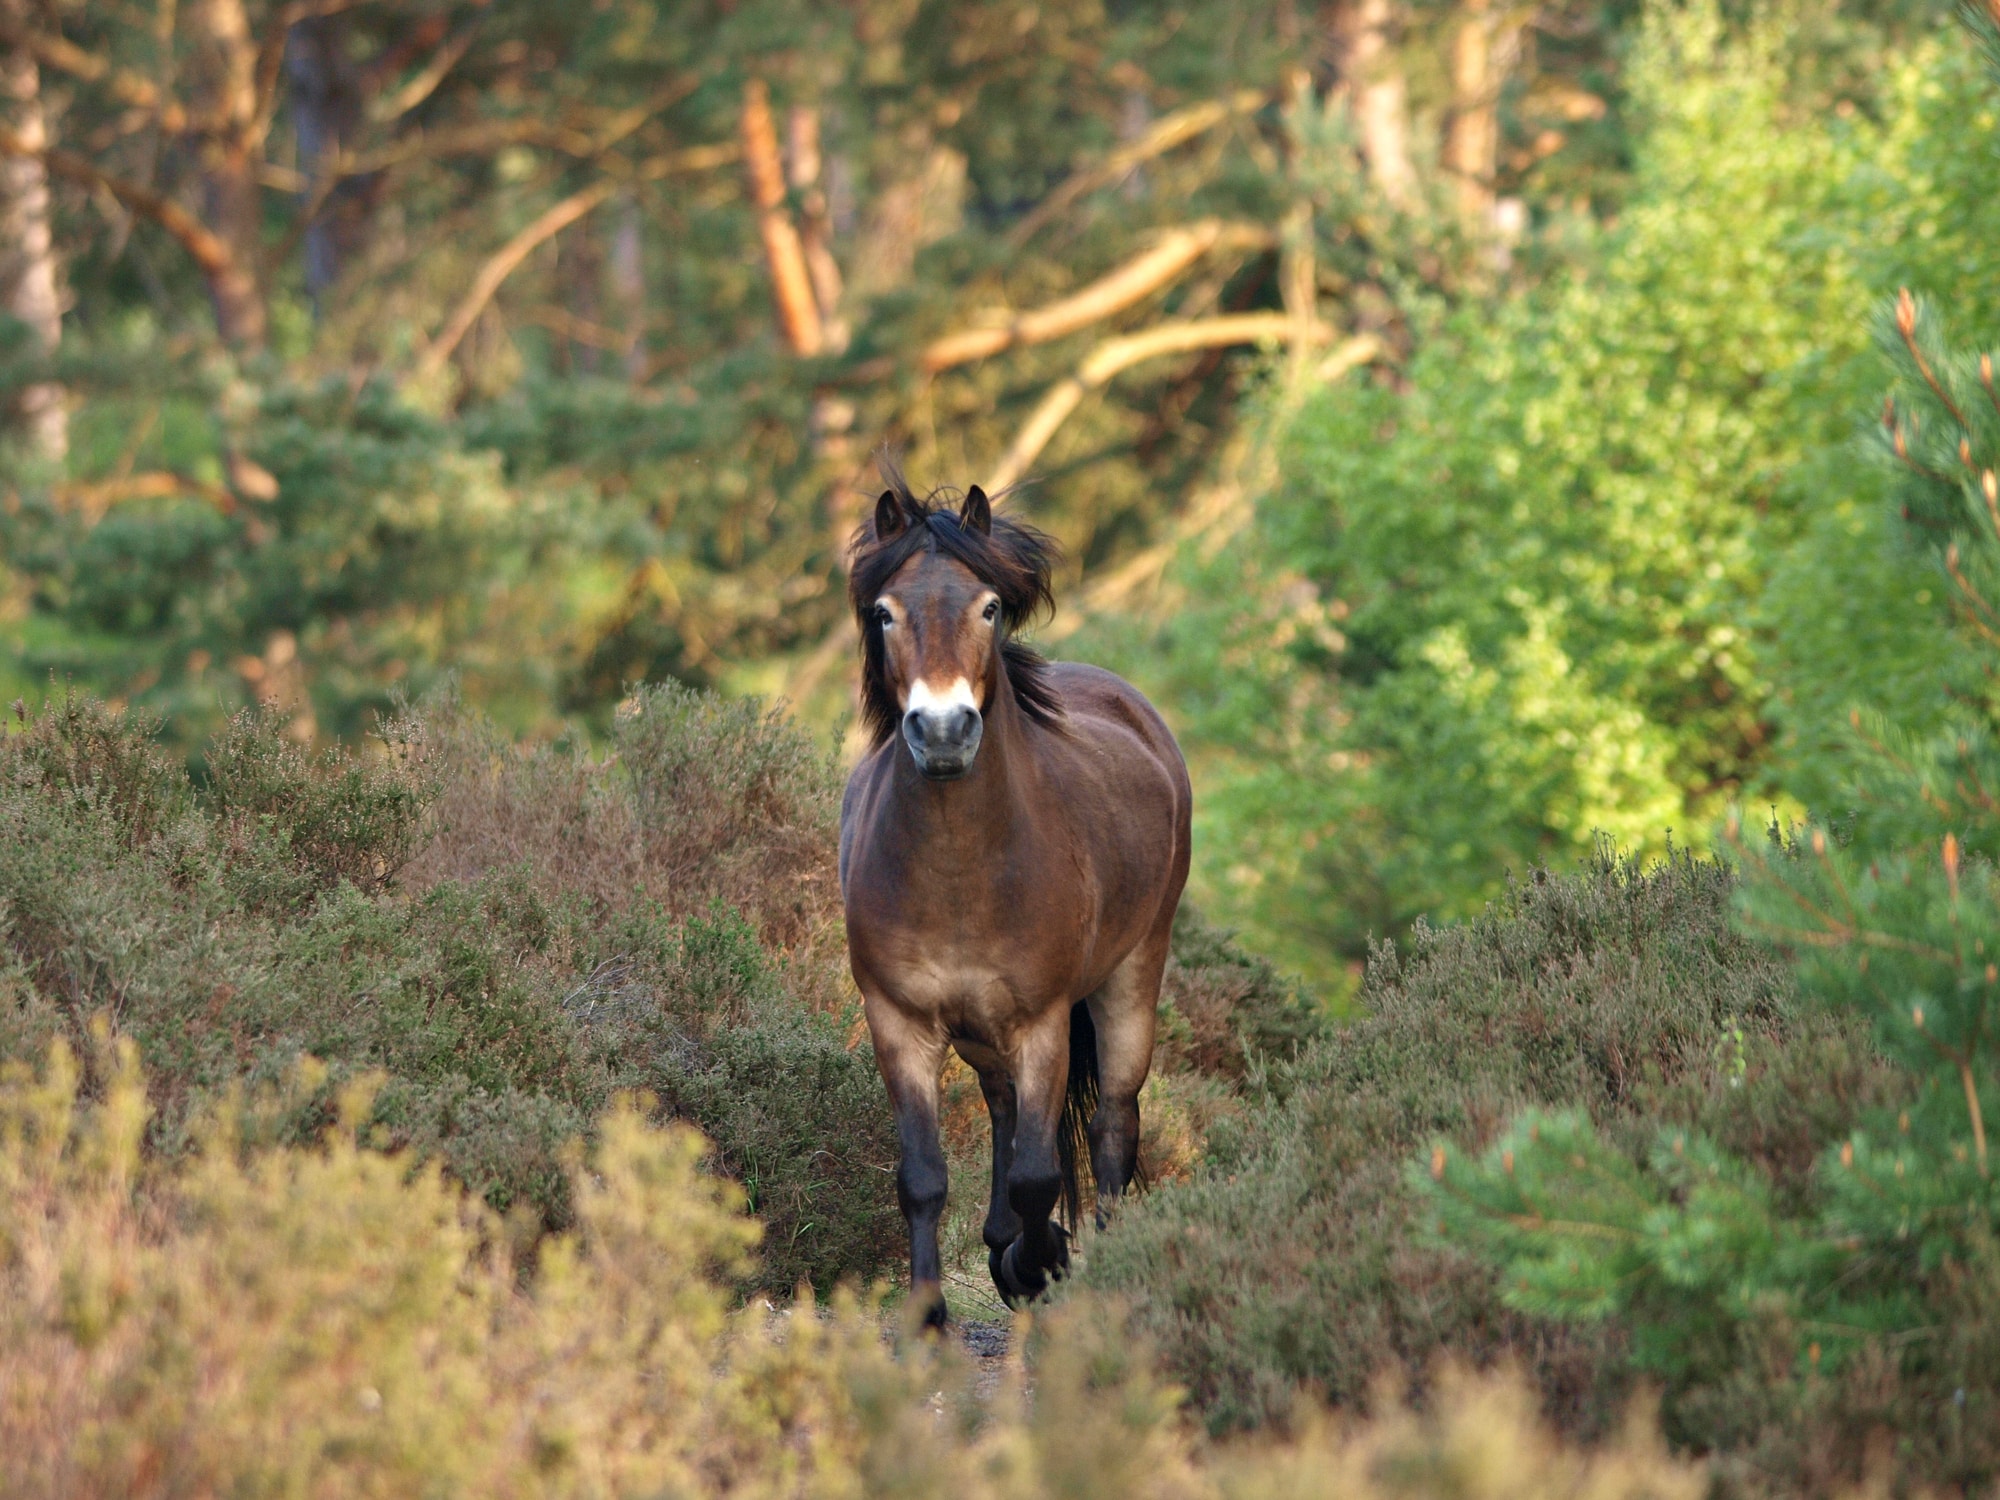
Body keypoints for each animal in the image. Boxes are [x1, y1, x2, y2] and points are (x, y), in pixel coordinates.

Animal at [838, 459, 1192, 1328]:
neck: (960, 871)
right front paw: (930, 1313)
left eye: (989, 606)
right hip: (979, 1030)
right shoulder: (900, 1023)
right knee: (1002, 1106)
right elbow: (923, 1177)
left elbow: (1039, 1174)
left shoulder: (1042, 1023)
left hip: (1131, 976)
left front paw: (1041, 1263)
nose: (942, 731)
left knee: (1113, 1124)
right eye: (885, 612)